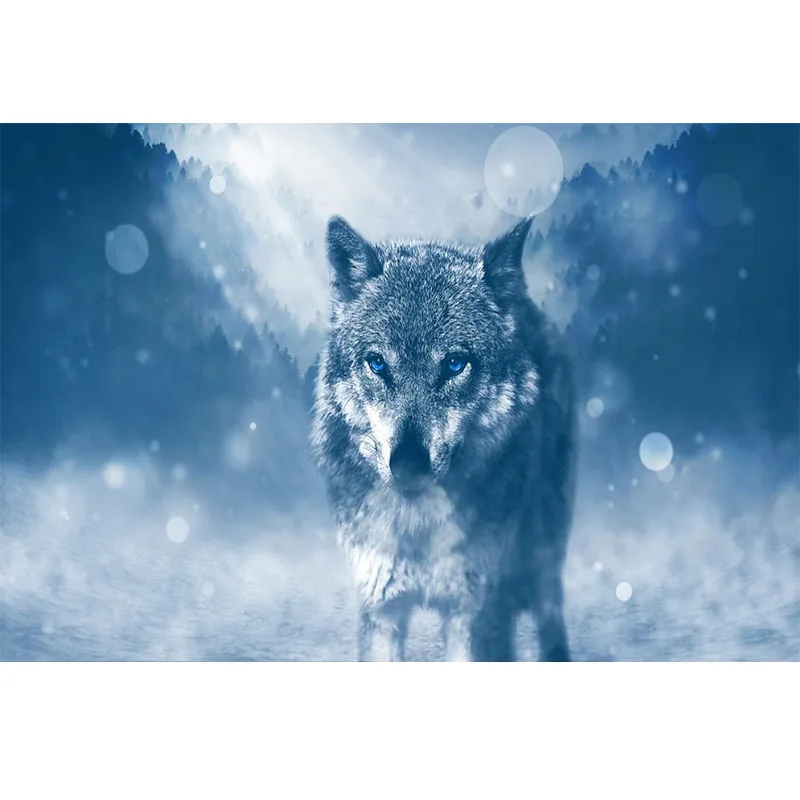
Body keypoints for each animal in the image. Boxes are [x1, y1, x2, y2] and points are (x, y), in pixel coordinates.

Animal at [311, 215, 577, 661]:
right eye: (377, 363)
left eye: (455, 364)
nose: (408, 464)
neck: (418, 526)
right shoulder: (380, 607)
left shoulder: (473, 612)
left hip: (543, 550)